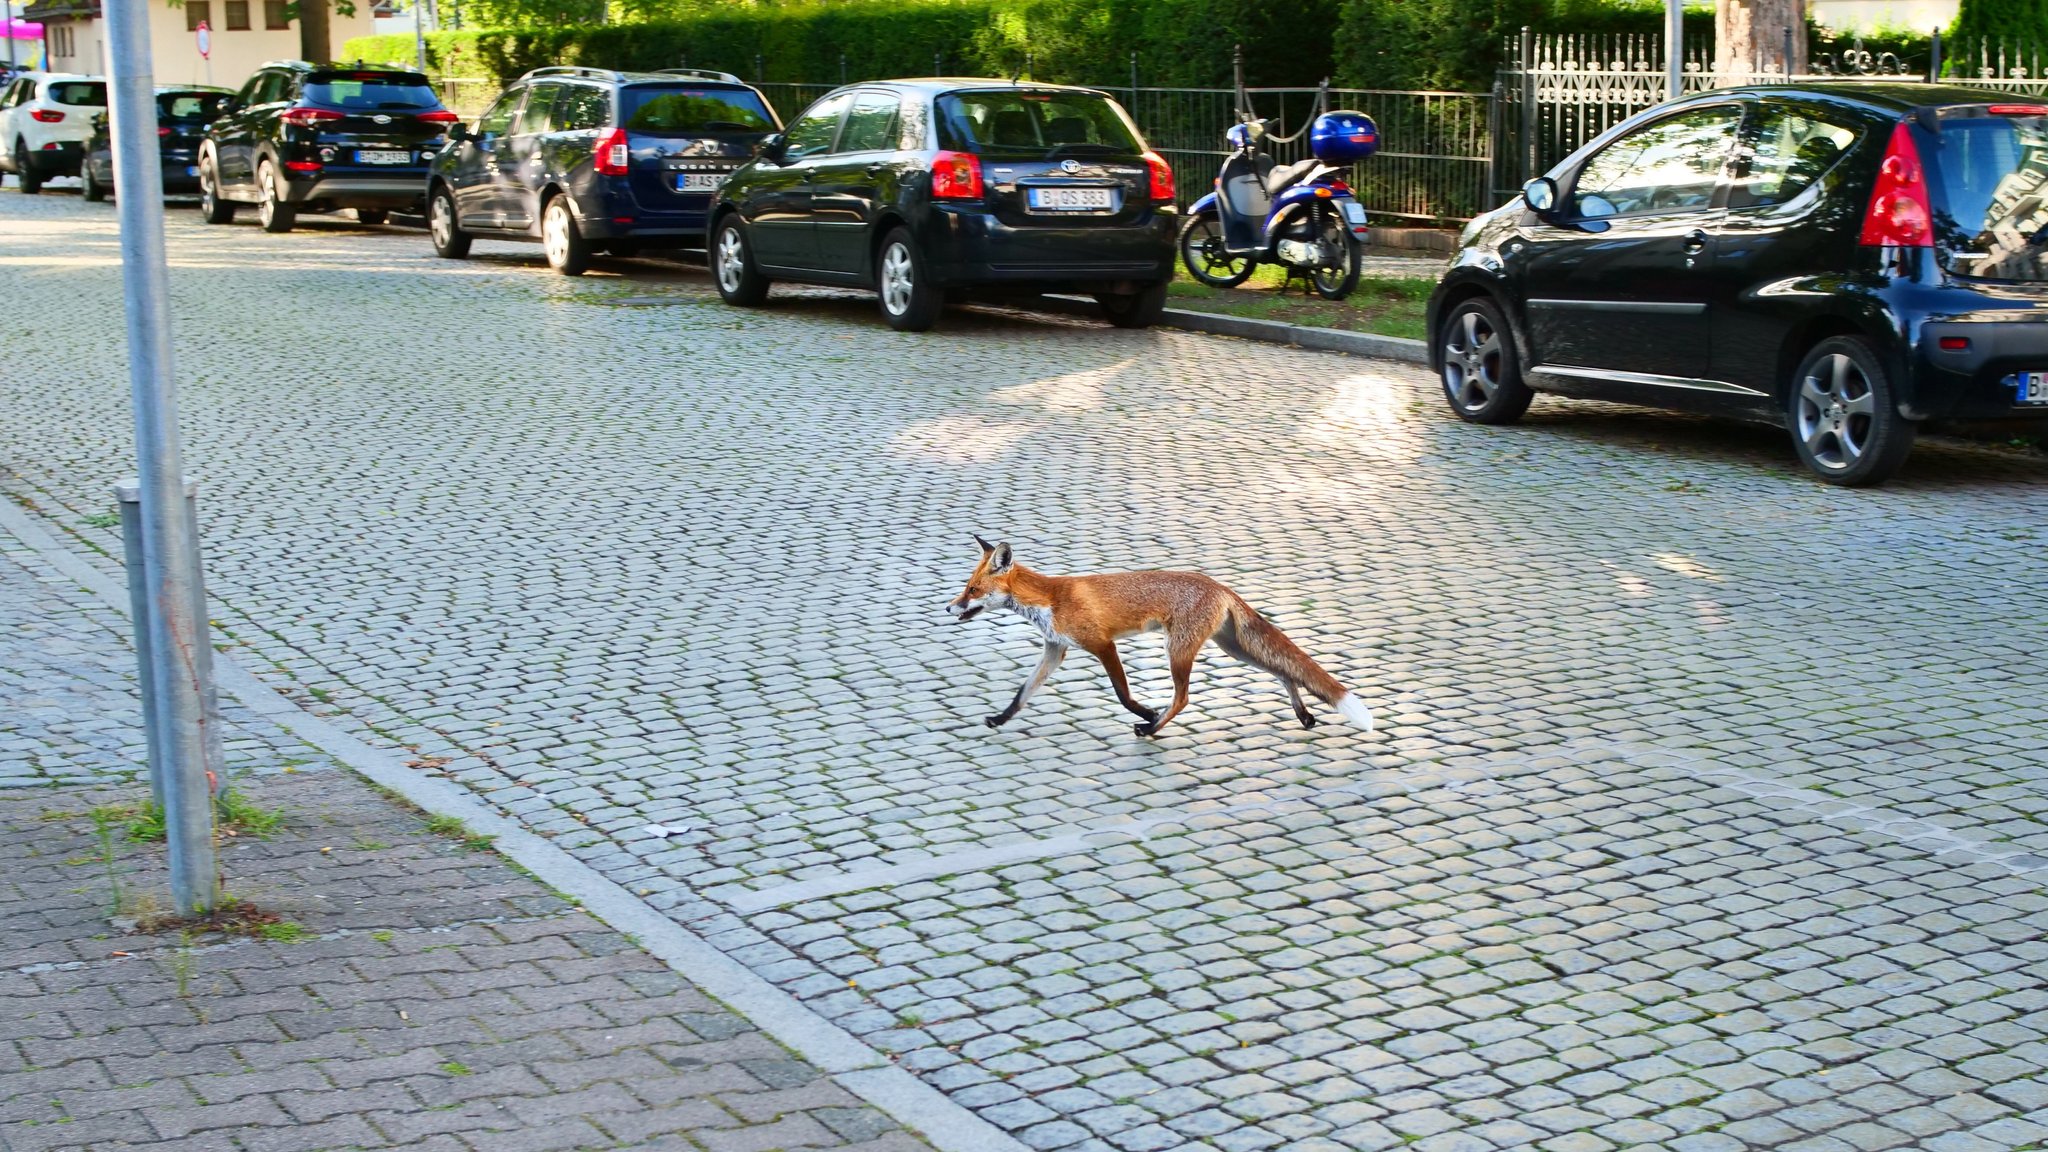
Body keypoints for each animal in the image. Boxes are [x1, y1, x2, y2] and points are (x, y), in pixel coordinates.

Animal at [946, 537, 1376, 733]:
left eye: (971, 589)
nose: (948, 608)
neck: (1051, 600)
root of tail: (1220, 585)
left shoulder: (1102, 644)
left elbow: (1122, 694)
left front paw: (1145, 713)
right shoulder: (1055, 650)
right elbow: (1022, 694)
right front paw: (999, 719)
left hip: (1179, 650)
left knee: (1183, 698)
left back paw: (1152, 729)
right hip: (1234, 648)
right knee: (1285, 671)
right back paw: (1303, 715)